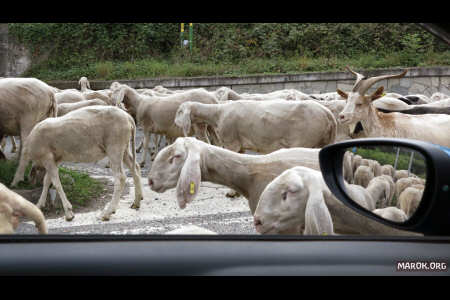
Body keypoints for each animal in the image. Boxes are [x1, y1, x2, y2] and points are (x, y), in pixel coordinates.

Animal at [10, 105, 143, 220]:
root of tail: (129, 118)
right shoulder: (55, 159)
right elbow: (47, 181)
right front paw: (39, 205)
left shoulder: (47, 157)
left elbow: (56, 183)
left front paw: (68, 212)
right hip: (124, 148)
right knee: (135, 168)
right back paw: (136, 202)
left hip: (115, 146)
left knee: (120, 177)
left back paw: (107, 213)